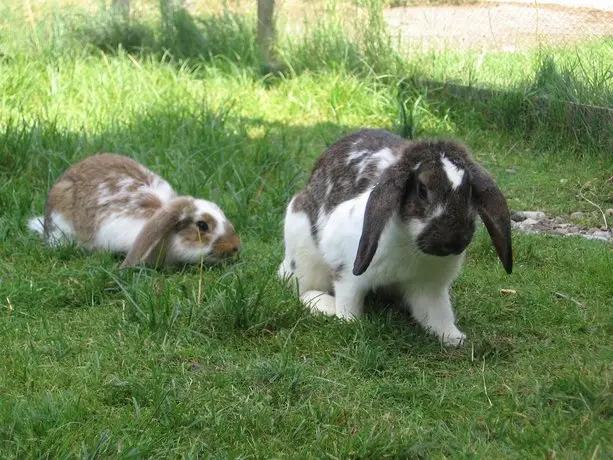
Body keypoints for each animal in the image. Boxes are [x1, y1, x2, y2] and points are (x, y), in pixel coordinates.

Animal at [278, 128, 512, 344]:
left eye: (469, 191)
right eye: (422, 189)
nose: (453, 241)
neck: (411, 246)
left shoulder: (431, 287)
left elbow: (438, 314)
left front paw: (453, 338)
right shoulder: (348, 274)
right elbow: (349, 301)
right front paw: (350, 323)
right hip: (305, 256)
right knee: (301, 289)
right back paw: (324, 305)